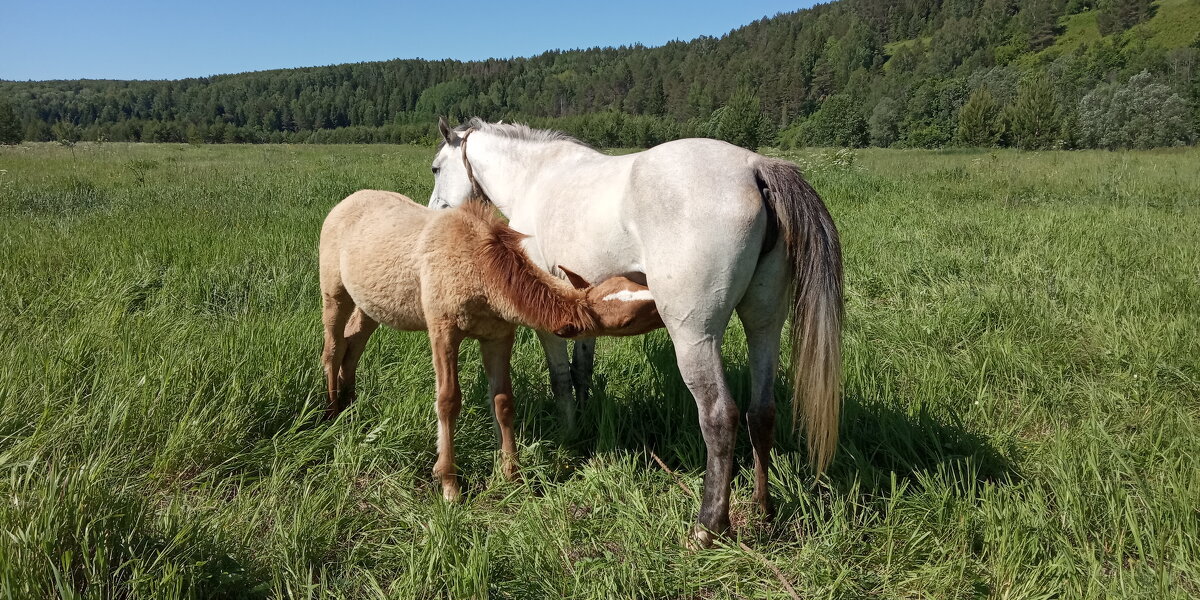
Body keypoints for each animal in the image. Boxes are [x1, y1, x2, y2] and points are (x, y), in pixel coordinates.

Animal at [319, 189, 662, 499]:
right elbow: (447, 401)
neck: (483, 272)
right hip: (334, 291)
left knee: (354, 340)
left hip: (370, 304)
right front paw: (449, 484)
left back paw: (351, 402)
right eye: (627, 321)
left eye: (630, 283)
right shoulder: (442, 329)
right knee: (333, 348)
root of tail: (342, 204)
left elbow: (503, 400)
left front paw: (511, 473)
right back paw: (332, 411)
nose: (662, 305)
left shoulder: (499, 335)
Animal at [432, 115, 844, 544]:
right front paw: (585, 426)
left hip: (694, 337)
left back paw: (707, 528)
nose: (436, 215)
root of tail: (754, 167)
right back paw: (762, 510)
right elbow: (581, 371)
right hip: (764, 325)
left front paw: (568, 434)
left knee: (720, 418)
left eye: (435, 168)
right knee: (761, 412)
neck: (536, 176)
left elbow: (560, 378)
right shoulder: (583, 307)